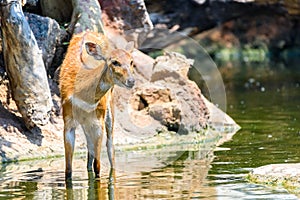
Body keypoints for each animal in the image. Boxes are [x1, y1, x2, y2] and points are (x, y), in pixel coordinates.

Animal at [59, 32, 134, 179]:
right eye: (114, 62)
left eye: (131, 61)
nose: (131, 81)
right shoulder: (68, 120)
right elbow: (68, 170)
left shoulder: (98, 121)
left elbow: (98, 166)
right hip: (86, 122)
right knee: (90, 149)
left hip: (109, 108)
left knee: (110, 146)